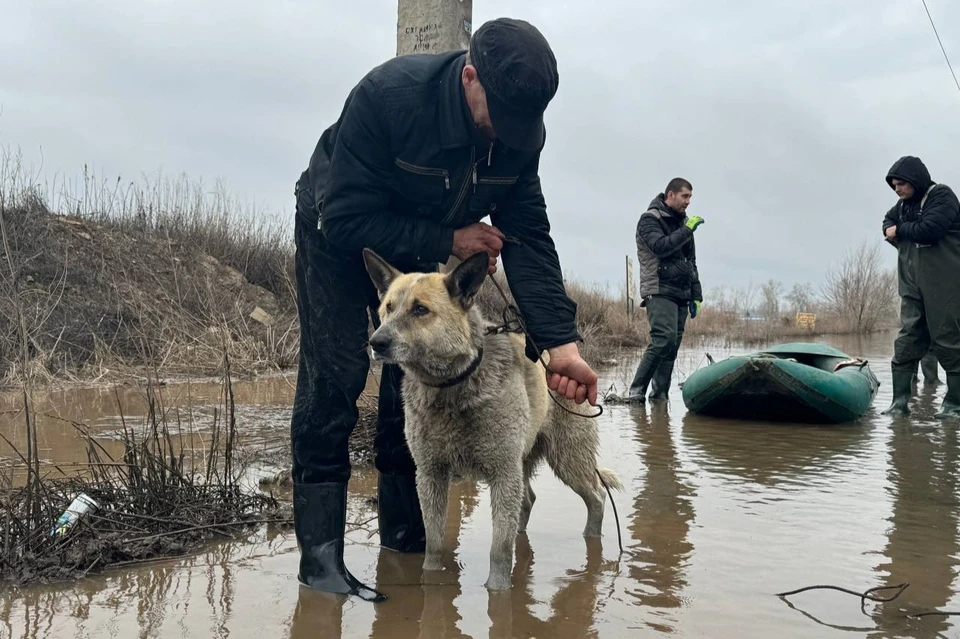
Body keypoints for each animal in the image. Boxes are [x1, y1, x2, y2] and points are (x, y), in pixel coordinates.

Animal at [360, 248, 624, 592]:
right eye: (388, 308)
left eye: (420, 309)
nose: (376, 342)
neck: (452, 386)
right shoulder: (430, 474)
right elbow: (434, 543)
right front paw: (430, 580)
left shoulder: (502, 472)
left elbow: (499, 549)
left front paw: (498, 593)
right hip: (526, 462)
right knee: (527, 502)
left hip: (567, 458)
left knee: (596, 497)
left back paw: (591, 542)